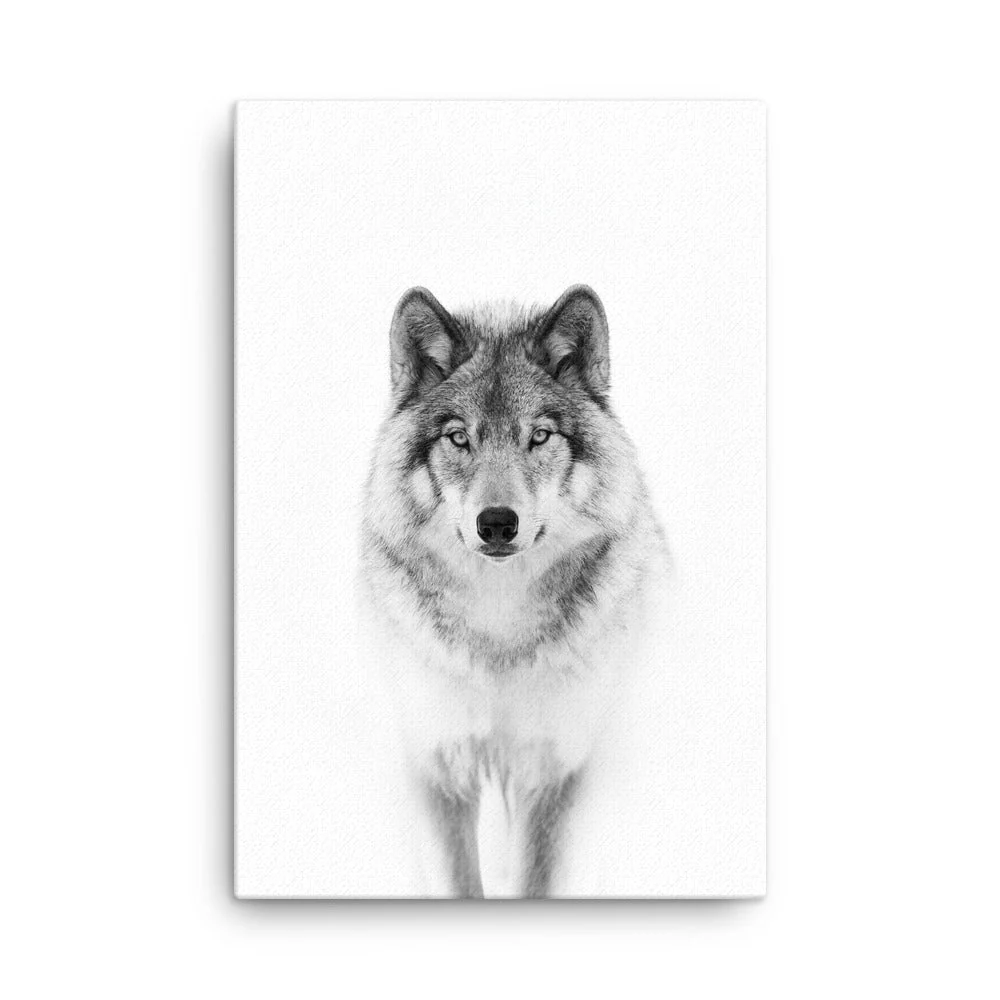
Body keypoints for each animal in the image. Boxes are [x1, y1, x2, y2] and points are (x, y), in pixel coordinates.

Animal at [359, 284, 670, 897]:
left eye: (539, 436)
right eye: (459, 438)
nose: (497, 523)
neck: (498, 631)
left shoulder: (556, 770)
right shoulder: (439, 765)